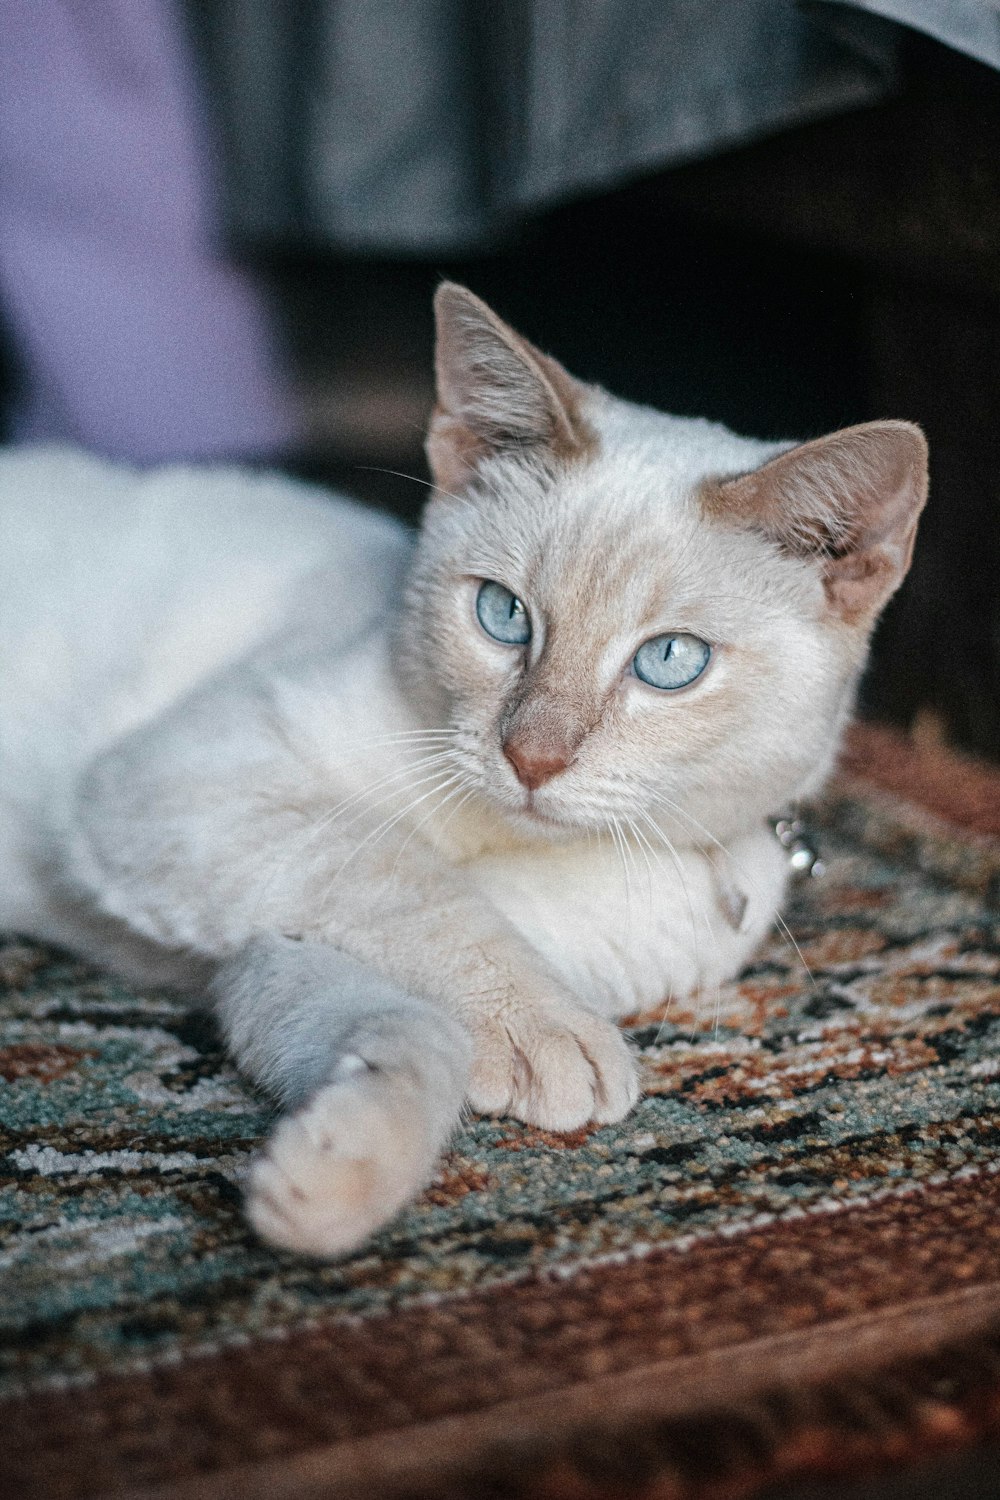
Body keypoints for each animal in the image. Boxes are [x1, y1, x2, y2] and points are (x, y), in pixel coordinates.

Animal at [0, 286, 929, 1260]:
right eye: (502, 615)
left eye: (669, 661)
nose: (532, 757)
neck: (510, 849)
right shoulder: (192, 791)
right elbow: (416, 888)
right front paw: (542, 1040)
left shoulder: (270, 954)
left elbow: (416, 1029)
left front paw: (326, 1185)